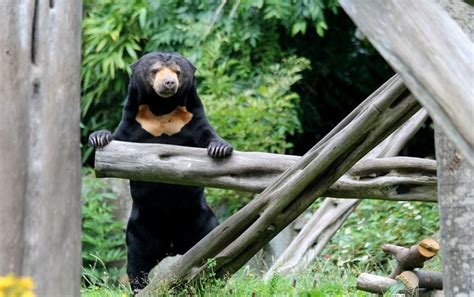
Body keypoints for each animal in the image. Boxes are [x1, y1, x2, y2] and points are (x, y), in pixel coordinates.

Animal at [89, 51, 233, 292]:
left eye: (177, 71)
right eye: (155, 70)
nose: (169, 83)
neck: (162, 107)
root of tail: (173, 246)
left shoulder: (191, 117)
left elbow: (208, 135)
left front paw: (220, 149)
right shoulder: (134, 121)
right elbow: (118, 139)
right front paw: (99, 136)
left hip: (202, 221)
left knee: (213, 248)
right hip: (140, 230)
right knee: (136, 264)